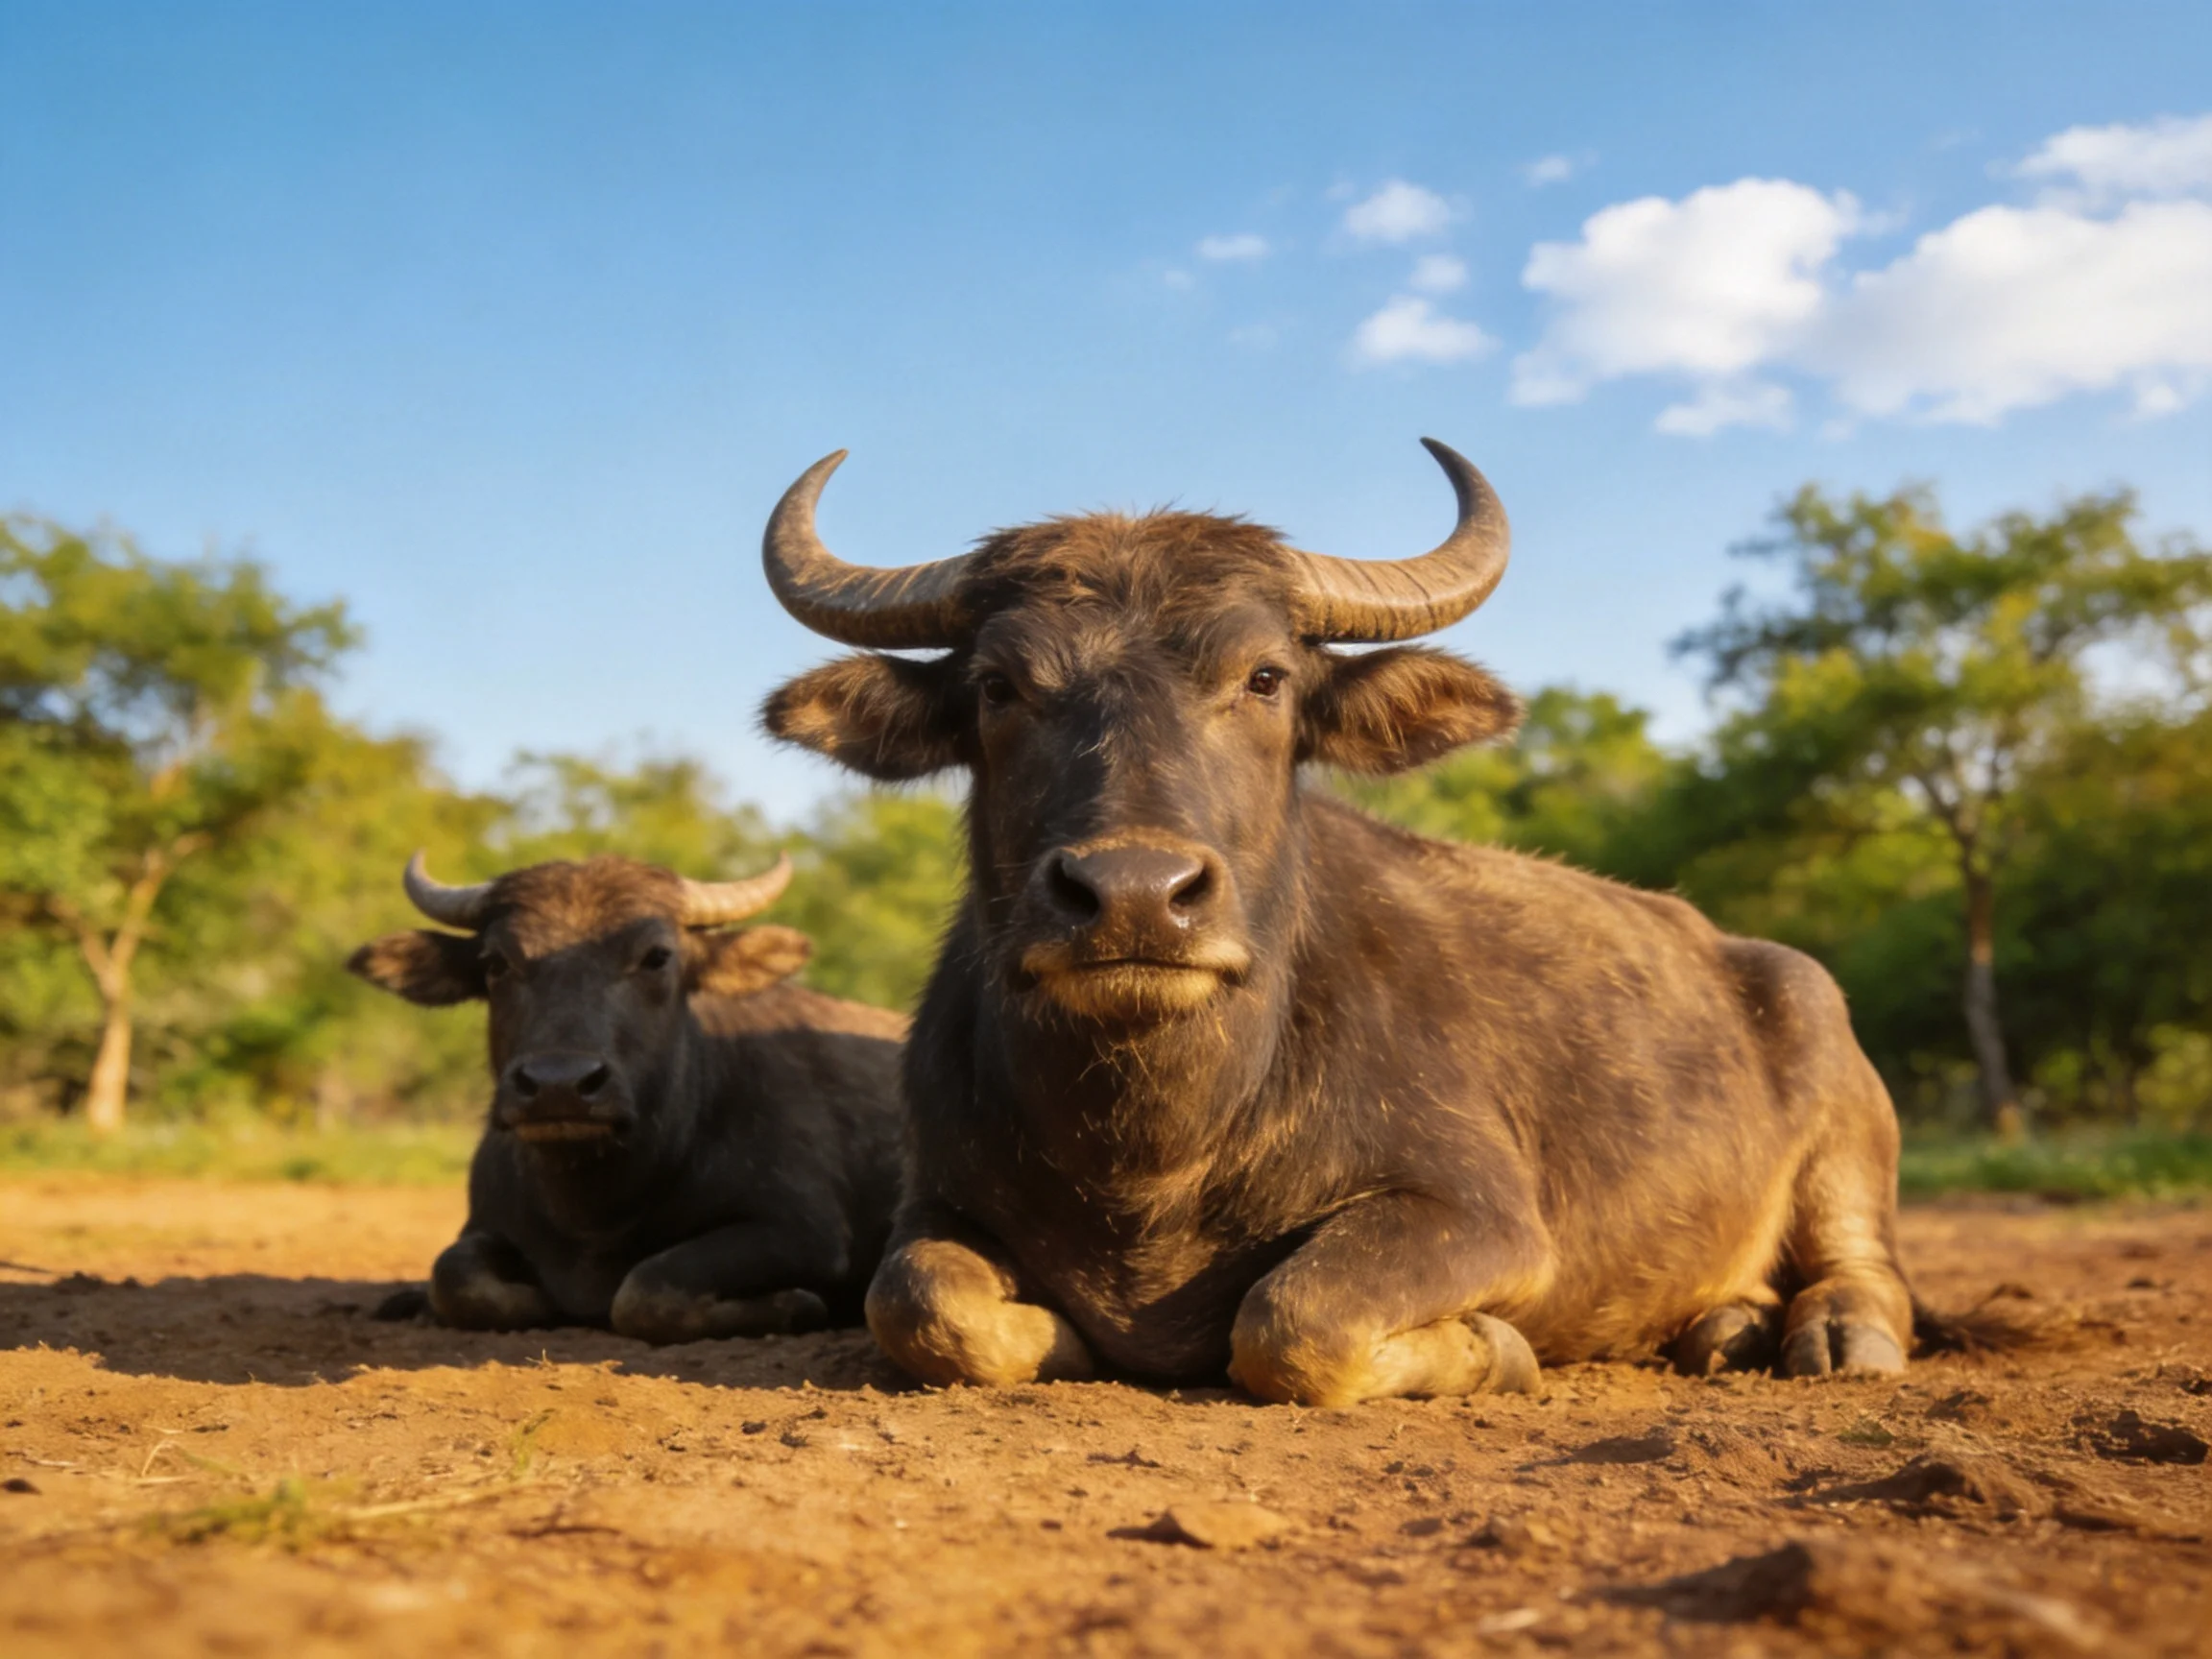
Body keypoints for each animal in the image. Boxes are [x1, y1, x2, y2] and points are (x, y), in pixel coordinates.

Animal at [350, 852, 904, 1344]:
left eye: (656, 957)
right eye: (496, 962)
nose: (558, 1084)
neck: (595, 1212)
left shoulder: (803, 1232)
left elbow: (644, 1291)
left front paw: (795, 1306)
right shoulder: (483, 1223)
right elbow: (453, 1274)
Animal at [758, 440, 1929, 1405]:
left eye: (1265, 677)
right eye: (1001, 686)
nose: (1135, 893)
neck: (1156, 1153)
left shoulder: (1485, 1218)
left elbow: (1295, 1320)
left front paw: (1490, 1351)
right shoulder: (932, 1204)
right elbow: (918, 1302)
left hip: (1846, 1110)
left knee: (1866, 1262)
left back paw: (1828, 1336)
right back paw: (1728, 1324)